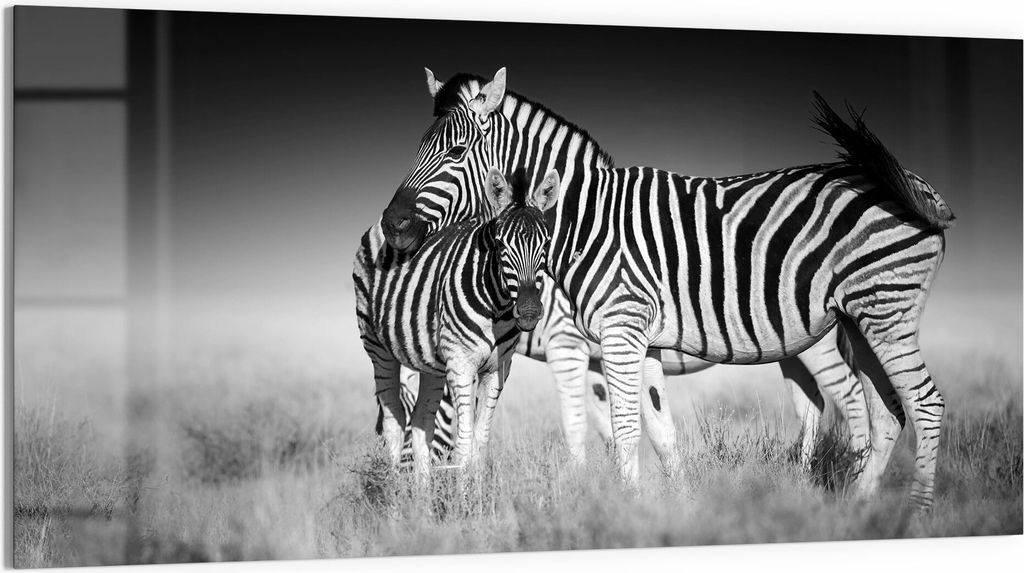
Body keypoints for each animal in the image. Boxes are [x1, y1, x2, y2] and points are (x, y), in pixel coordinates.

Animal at [355, 166, 560, 474]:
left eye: (546, 244)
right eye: (500, 245)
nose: (529, 312)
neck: (498, 308)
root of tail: (381, 226)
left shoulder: (498, 368)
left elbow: (480, 444)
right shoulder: (461, 365)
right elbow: (463, 445)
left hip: (431, 362)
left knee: (421, 424)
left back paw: (422, 489)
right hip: (377, 347)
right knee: (393, 424)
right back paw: (394, 487)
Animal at [379, 68, 954, 510]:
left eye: (455, 151)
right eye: (418, 147)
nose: (392, 224)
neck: (582, 223)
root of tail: (914, 184)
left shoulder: (598, 337)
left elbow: (607, 428)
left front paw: (608, 507)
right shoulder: (637, 339)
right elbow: (655, 429)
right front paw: (664, 507)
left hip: (883, 310)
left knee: (913, 404)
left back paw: (914, 514)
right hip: (857, 318)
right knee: (881, 411)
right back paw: (856, 506)